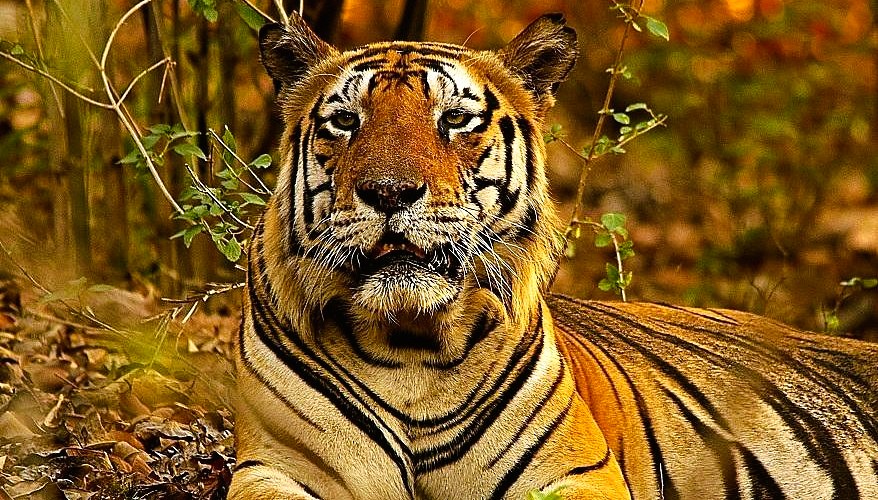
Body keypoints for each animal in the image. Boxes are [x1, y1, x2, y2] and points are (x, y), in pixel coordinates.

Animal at [229, 11, 878, 500]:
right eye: (345, 120)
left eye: (455, 118)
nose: (390, 192)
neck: (408, 344)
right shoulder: (271, 469)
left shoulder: (576, 474)